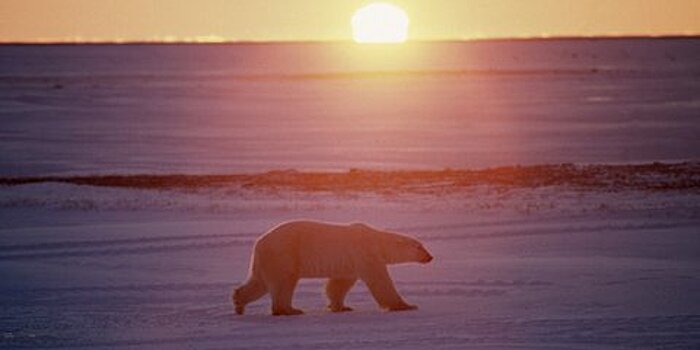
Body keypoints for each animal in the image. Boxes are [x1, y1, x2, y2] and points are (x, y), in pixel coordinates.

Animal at [234, 221, 432, 318]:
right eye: (420, 246)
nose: (430, 257)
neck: (377, 240)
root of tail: (259, 242)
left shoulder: (349, 261)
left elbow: (339, 284)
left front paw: (341, 307)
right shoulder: (364, 252)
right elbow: (380, 280)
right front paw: (406, 306)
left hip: (267, 260)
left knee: (258, 283)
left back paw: (239, 304)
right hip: (284, 253)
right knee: (284, 282)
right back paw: (290, 310)